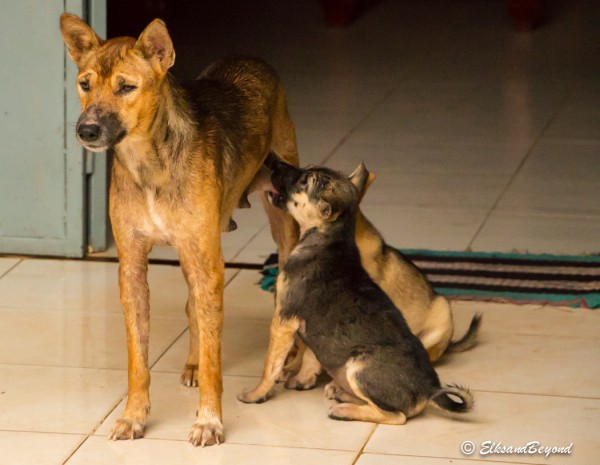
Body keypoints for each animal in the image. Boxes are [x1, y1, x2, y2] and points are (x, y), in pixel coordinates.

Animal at [59, 12, 298, 444]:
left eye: (126, 87)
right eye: (85, 84)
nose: (86, 131)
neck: (148, 161)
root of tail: (249, 58)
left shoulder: (209, 263)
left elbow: (215, 357)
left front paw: (209, 419)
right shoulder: (132, 267)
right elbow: (138, 359)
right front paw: (134, 416)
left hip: (280, 225)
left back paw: (296, 364)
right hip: (192, 254)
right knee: (193, 308)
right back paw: (191, 363)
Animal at [239, 161, 474, 422]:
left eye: (304, 181)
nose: (272, 163)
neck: (330, 239)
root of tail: (429, 389)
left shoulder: (283, 320)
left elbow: (270, 364)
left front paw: (255, 394)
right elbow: (309, 354)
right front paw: (301, 378)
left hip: (360, 366)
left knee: (395, 415)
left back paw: (344, 409)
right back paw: (341, 393)